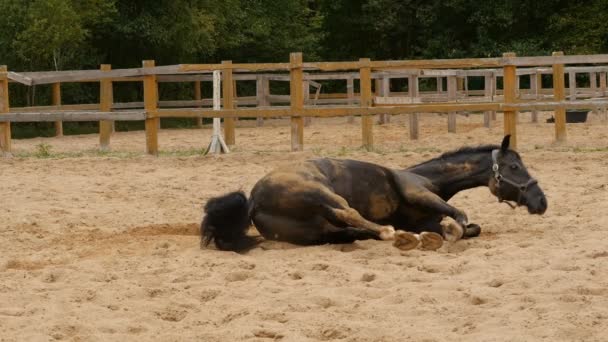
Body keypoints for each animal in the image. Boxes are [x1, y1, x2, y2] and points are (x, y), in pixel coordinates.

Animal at [200, 135, 548, 252]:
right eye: (515, 166)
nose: (541, 202)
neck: (428, 177)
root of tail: (253, 201)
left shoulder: (426, 218)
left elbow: (471, 227)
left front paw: (434, 235)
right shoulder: (419, 194)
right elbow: (461, 218)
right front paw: (450, 231)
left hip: (314, 232)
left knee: (347, 231)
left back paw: (404, 237)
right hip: (318, 192)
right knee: (348, 213)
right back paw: (392, 233)